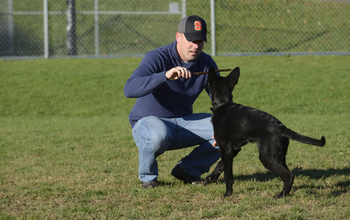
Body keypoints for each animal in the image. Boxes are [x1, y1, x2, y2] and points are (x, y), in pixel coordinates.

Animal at [205, 66, 326, 197]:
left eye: (208, 82)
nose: (205, 82)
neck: (223, 104)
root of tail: (282, 127)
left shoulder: (225, 147)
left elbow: (228, 174)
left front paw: (227, 194)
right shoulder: (234, 149)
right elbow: (220, 164)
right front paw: (211, 177)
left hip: (267, 157)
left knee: (289, 175)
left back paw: (281, 195)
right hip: (278, 156)